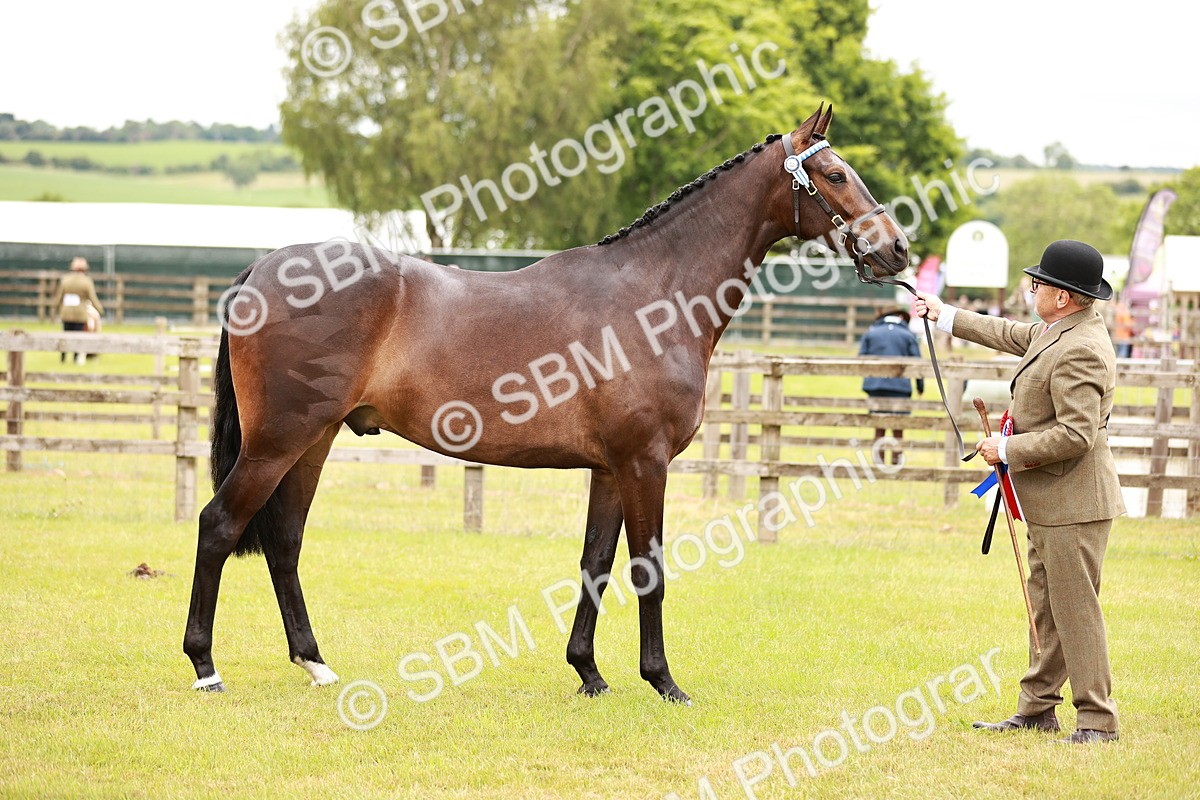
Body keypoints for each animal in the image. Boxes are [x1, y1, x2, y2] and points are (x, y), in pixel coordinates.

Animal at [184, 105, 909, 704]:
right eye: (837, 174)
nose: (898, 248)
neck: (656, 294)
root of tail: (260, 271)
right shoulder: (644, 463)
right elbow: (648, 569)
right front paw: (663, 681)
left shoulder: (610, 469)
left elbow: (595, 565)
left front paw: (588, 672)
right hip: (278, 441)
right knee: (219, 524)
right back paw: (206, 667)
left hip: (316, 439)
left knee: (284, 539)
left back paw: (315, 663)